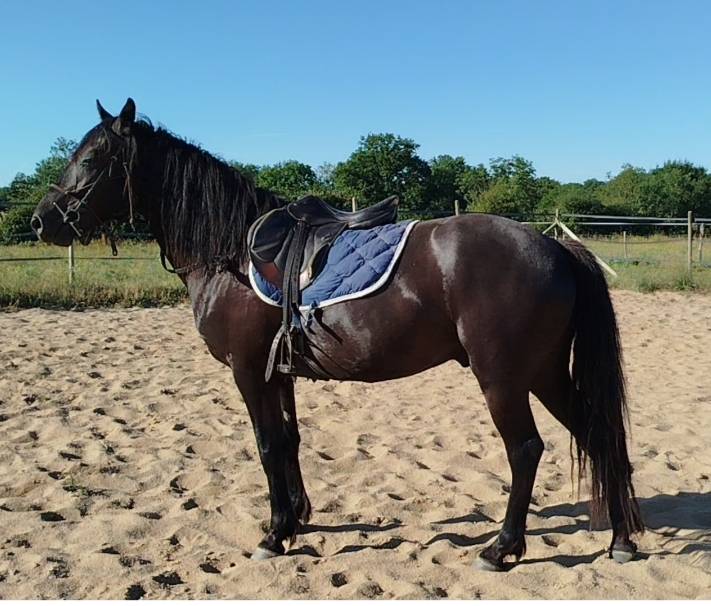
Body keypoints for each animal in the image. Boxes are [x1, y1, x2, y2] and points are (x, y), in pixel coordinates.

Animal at [31, 98, 644, 570]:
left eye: (91, 159)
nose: (42, 220)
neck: (231, 252)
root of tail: (553, 246)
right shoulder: (278, 372)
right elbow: (289, 440)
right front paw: (297, 517)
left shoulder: (248, 371)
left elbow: (266, 443)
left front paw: (275, 534)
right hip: (543, 371)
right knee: (598, 434)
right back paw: (620, 540)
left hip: (504, 376)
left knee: (526, 449)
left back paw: (502, 549)